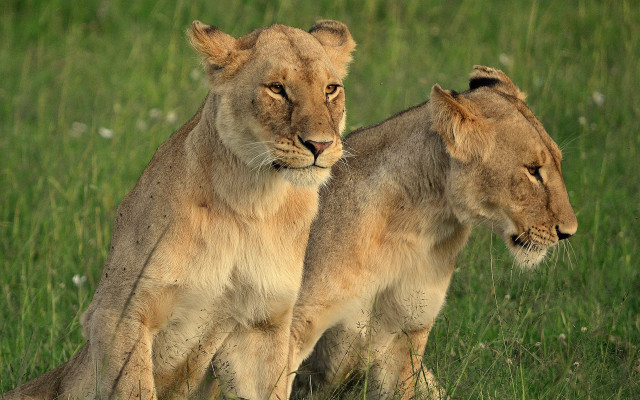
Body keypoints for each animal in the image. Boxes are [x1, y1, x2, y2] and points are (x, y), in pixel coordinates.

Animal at [4, 19, 355, 400]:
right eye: (277, 88)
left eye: (331, 89)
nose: (320, 145)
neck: (252, 203)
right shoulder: (120, 313)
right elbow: (136, 387)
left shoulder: (261, 326)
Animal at [288, 66, 577, 399]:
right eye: (532, 170)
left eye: (558, 163)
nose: (569, 231)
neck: (415, 226)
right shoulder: (292, 327)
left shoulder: (407, 333)